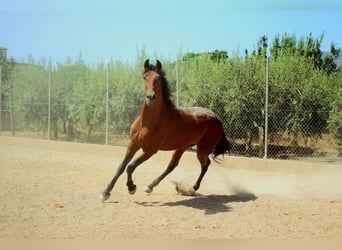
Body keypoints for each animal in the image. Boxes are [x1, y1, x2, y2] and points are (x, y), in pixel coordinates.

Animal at [101, 58, 230, 201]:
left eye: (158, 78)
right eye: (144, 77)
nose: (150, 97)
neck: (147, 123)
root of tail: (216, 118)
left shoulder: (150, 150)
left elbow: (130, 167)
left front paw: (131, 188)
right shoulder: (133, 144)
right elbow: (121, 167)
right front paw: (106, 192)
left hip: (202, 151)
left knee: (205, 165)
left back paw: (193, 188)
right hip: (181, 147)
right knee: (172, 166)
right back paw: (150, 186)